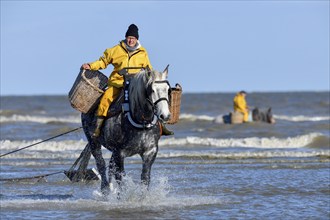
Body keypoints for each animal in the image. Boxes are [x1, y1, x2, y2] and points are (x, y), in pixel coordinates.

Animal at [81, 65, 171, 194]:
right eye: (152, 90)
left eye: (168, 90)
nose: (165, 115)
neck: (139, 121)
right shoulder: (120, 153)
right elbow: (121, 178)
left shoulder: (150, 152)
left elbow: (145, 178)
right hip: (94, 142)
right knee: (101, 164)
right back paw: (105, 190)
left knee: (110, 167)